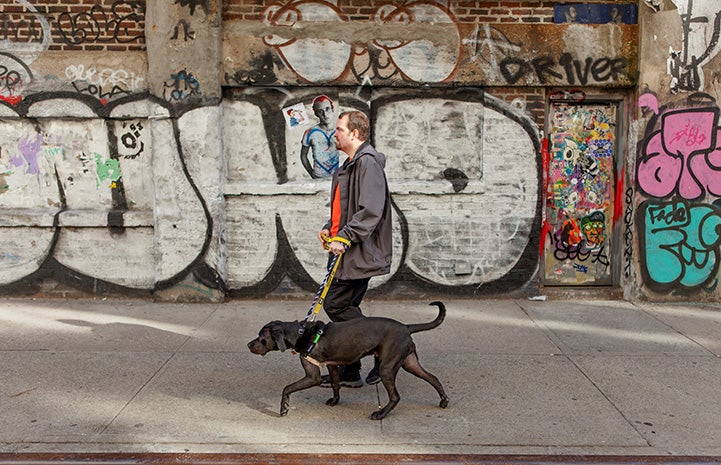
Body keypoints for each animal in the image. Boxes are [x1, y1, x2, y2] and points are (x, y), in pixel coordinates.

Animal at [248, 300, 450, 418]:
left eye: (261, 337)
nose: (249, 344)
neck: (300, 333)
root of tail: (407, 327)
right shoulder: (332, 366)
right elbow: (336, 385)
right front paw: (335, 401)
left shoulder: (312, 376)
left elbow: (287, 388)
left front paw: (284, 408)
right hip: (410, 362)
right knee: (433, 378)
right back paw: (444, 401)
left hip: (387, 368)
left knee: (395, 396)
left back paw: (381, 414)